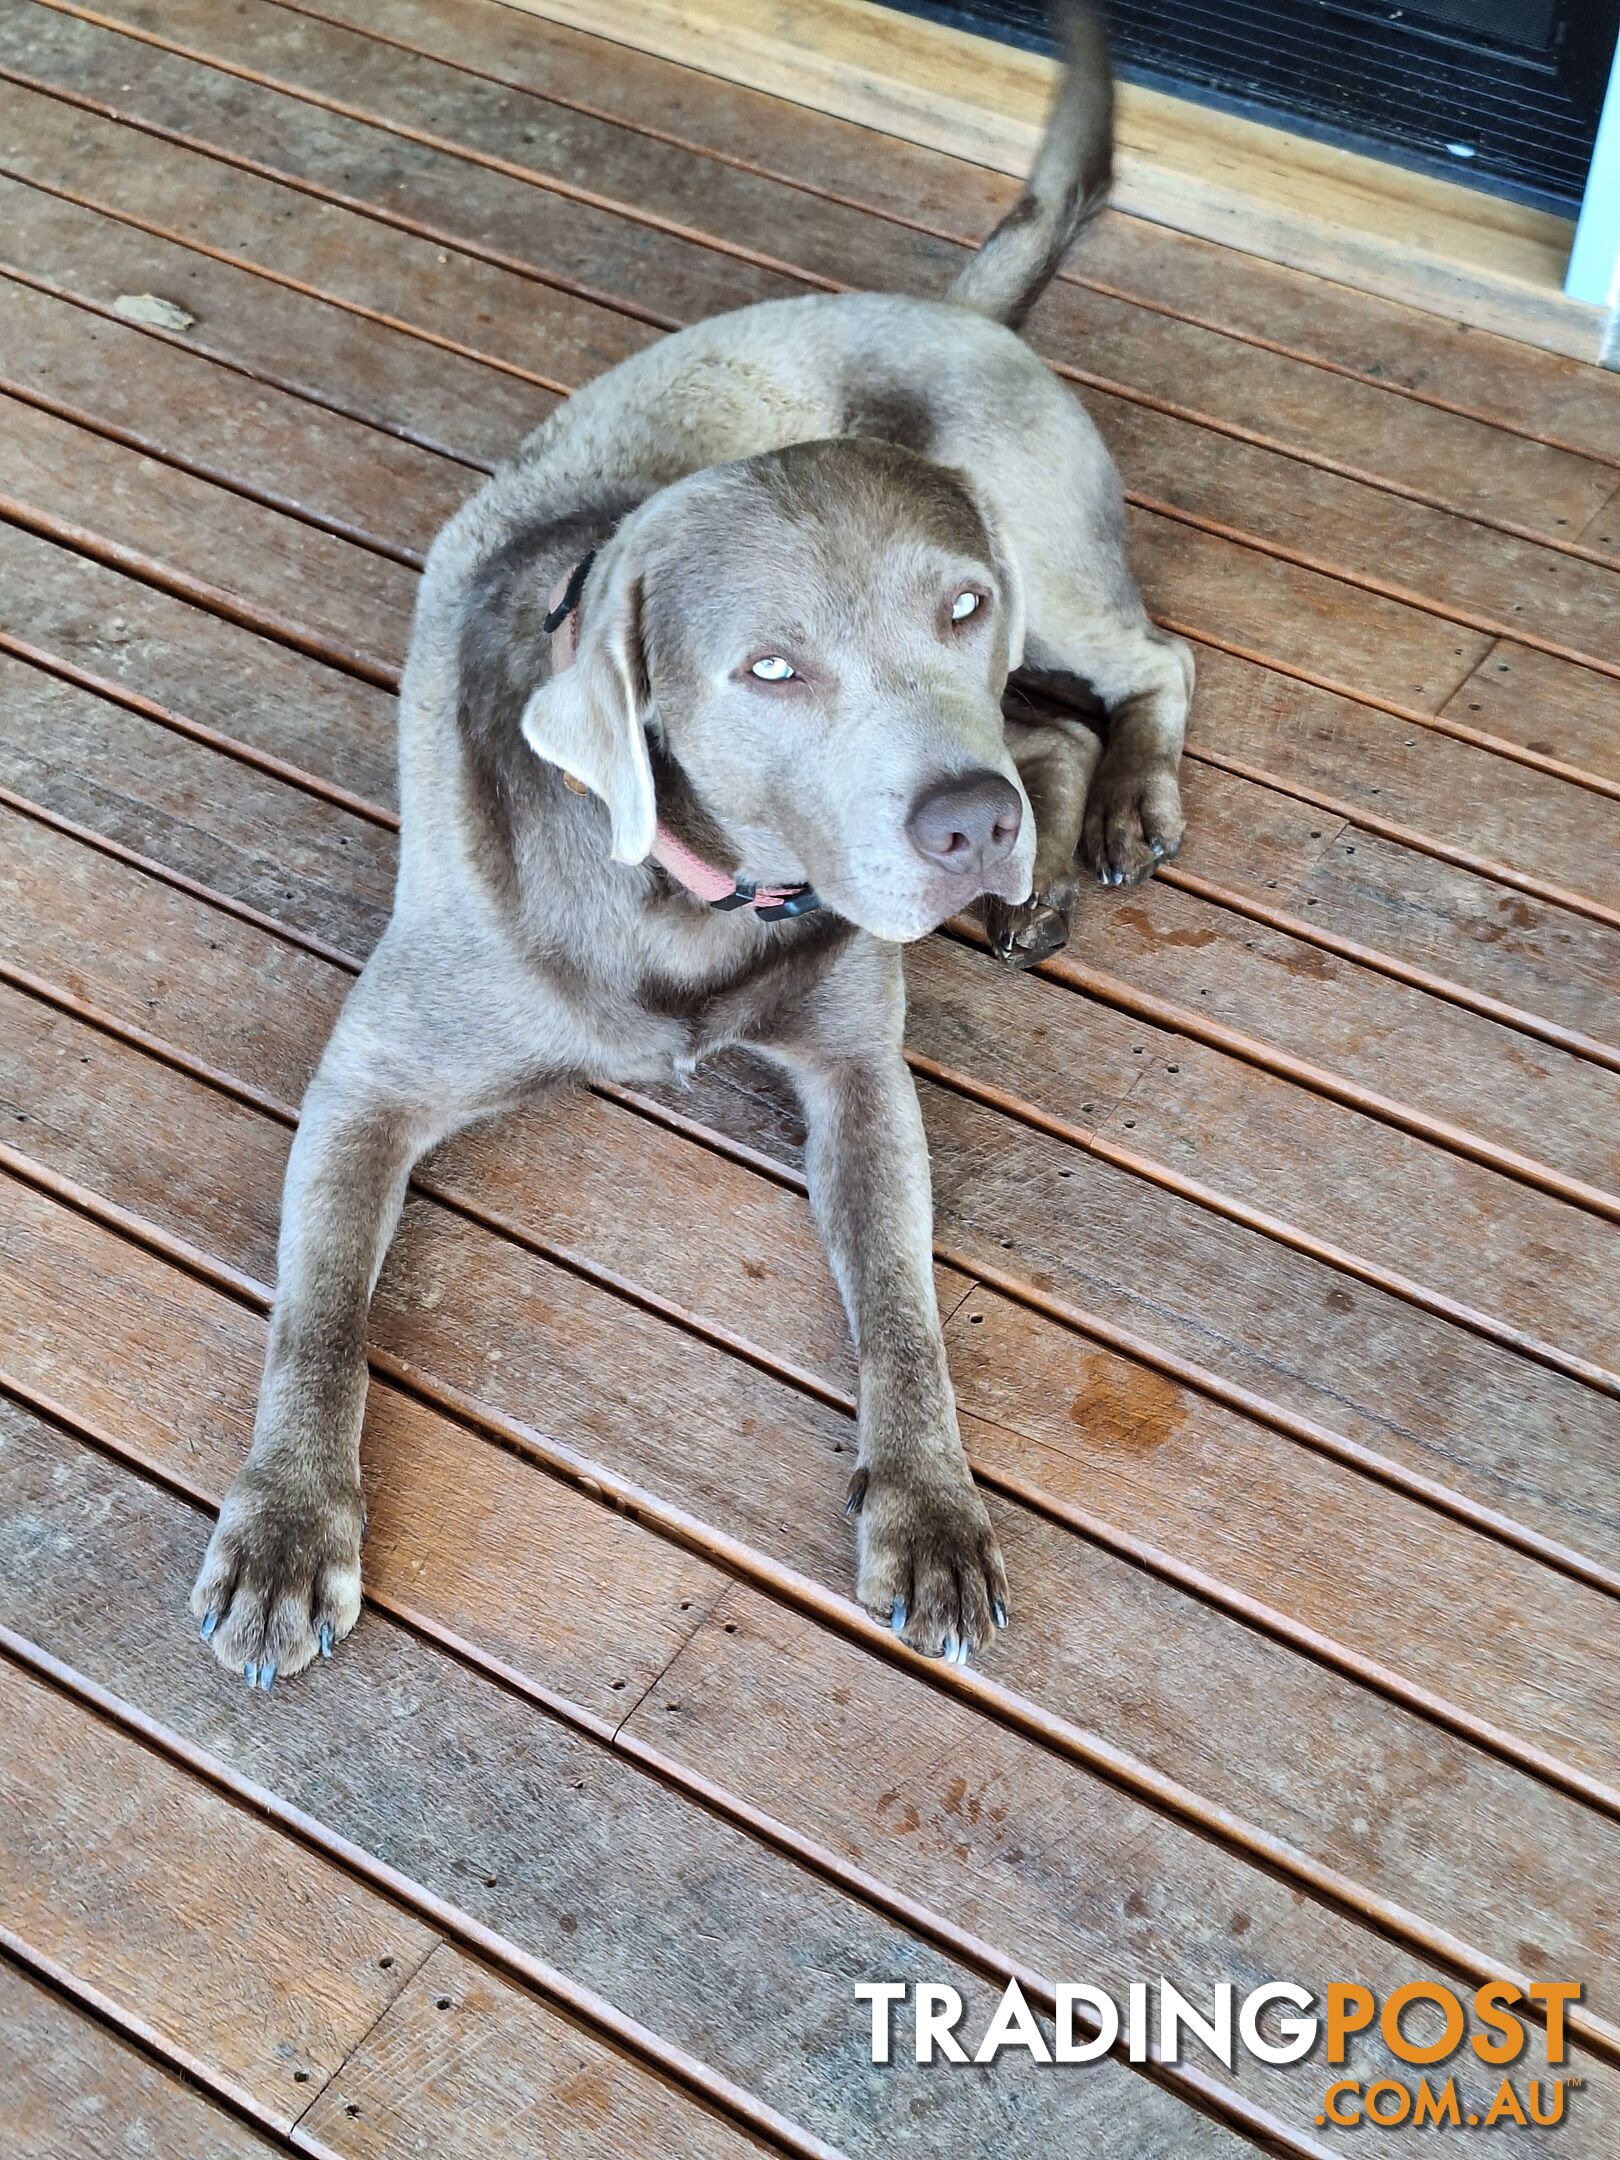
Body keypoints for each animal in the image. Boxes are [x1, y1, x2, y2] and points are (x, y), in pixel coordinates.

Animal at [196, 4, 1200, 1684]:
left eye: (955, 604)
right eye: (770, 671)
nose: (965, 826)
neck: (697, 900)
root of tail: (944, 306)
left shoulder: (859, 1078)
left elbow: (905, 1306)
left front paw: (930, 1508)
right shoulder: (369, 1086)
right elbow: (319, 1313)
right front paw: (284, 1528)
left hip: (1049, 577)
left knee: (1139, 676)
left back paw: (1110, 816)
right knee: (1054, 726)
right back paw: (1048, 866)